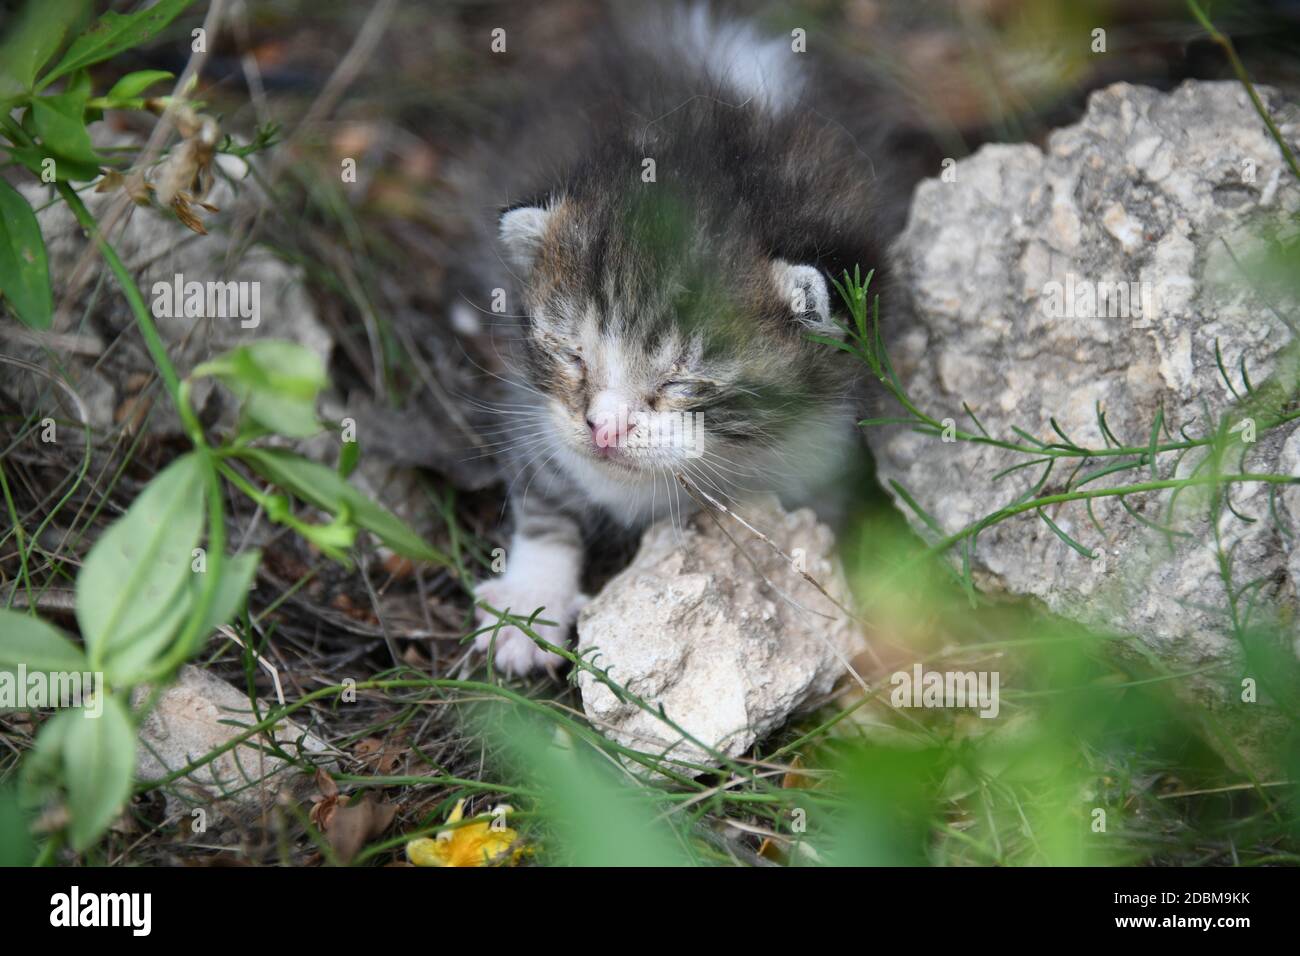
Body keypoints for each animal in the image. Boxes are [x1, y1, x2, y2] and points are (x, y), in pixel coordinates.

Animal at [457, 3, 894, 676]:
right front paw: (530, 602)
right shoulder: (532, 407)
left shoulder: (828, 450)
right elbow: (546, 493)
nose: (604, 430)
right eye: (570, 353)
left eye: (681, 382)